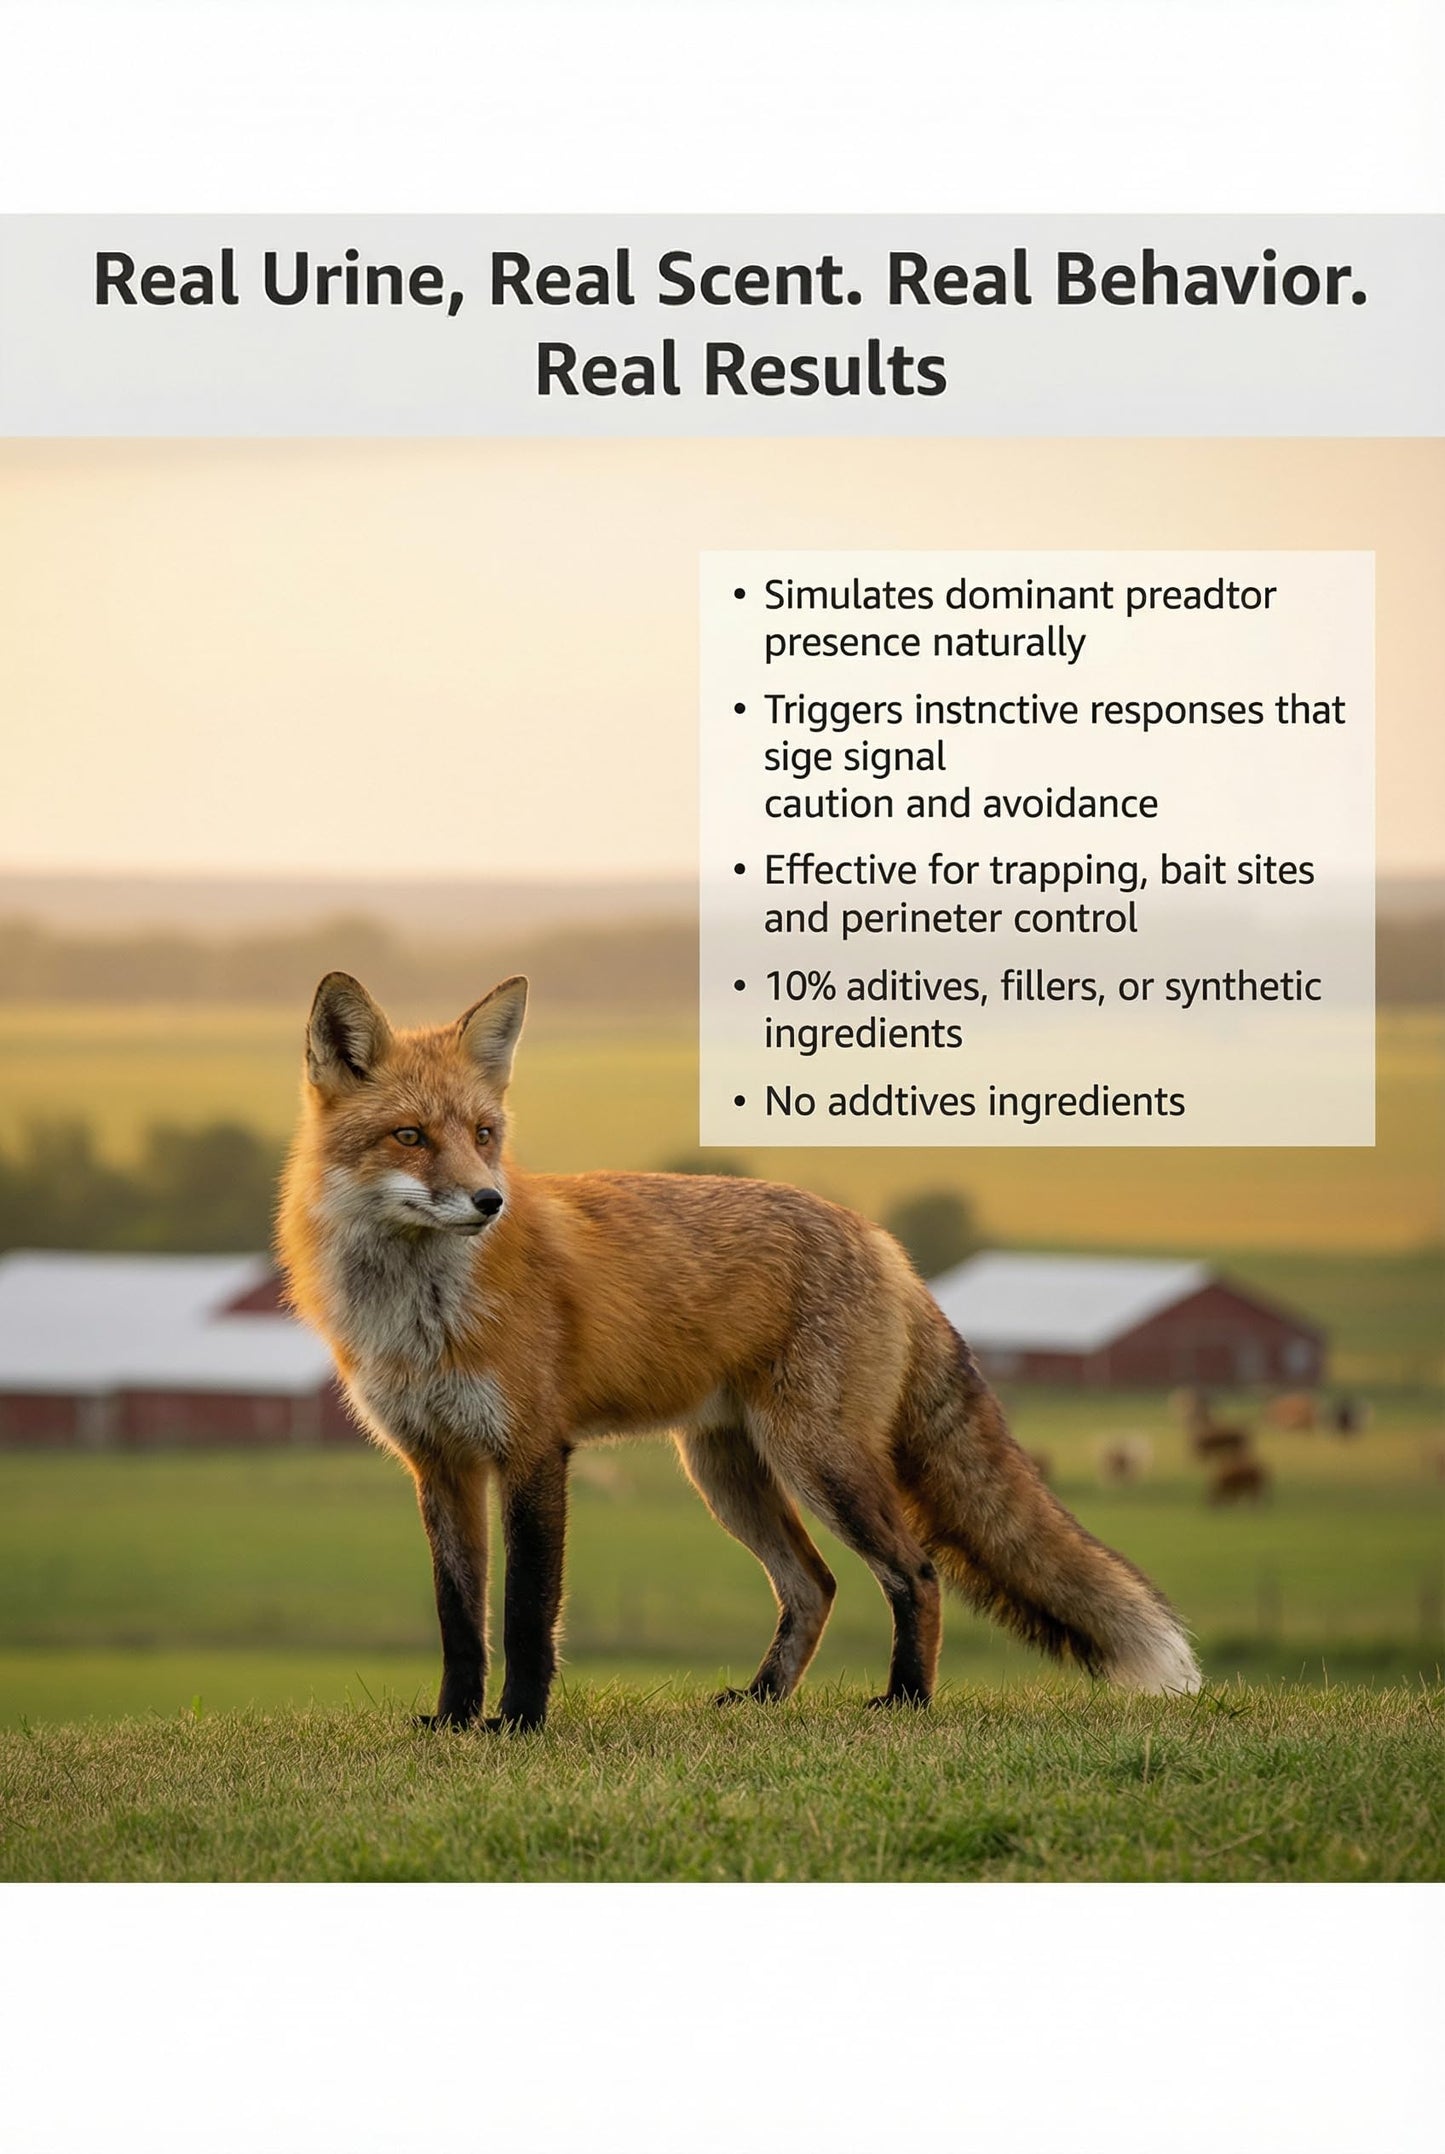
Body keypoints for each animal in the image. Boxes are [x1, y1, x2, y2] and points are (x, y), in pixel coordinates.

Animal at [277, 970, 1201, 1731]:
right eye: (409, 1136)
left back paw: (905, 1698)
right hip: (726, 1472)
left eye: (482, 1132)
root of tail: (880, 1241)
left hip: (817, 1459)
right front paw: (455, 1720)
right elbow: (459, 1616)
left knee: (913, 1571)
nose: (488, 1201)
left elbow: (528, 1609)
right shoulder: (440, 1463)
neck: (418, 1313)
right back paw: (763, 1698)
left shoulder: (534, 1451)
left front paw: (521, 1722)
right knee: (813, 1585)